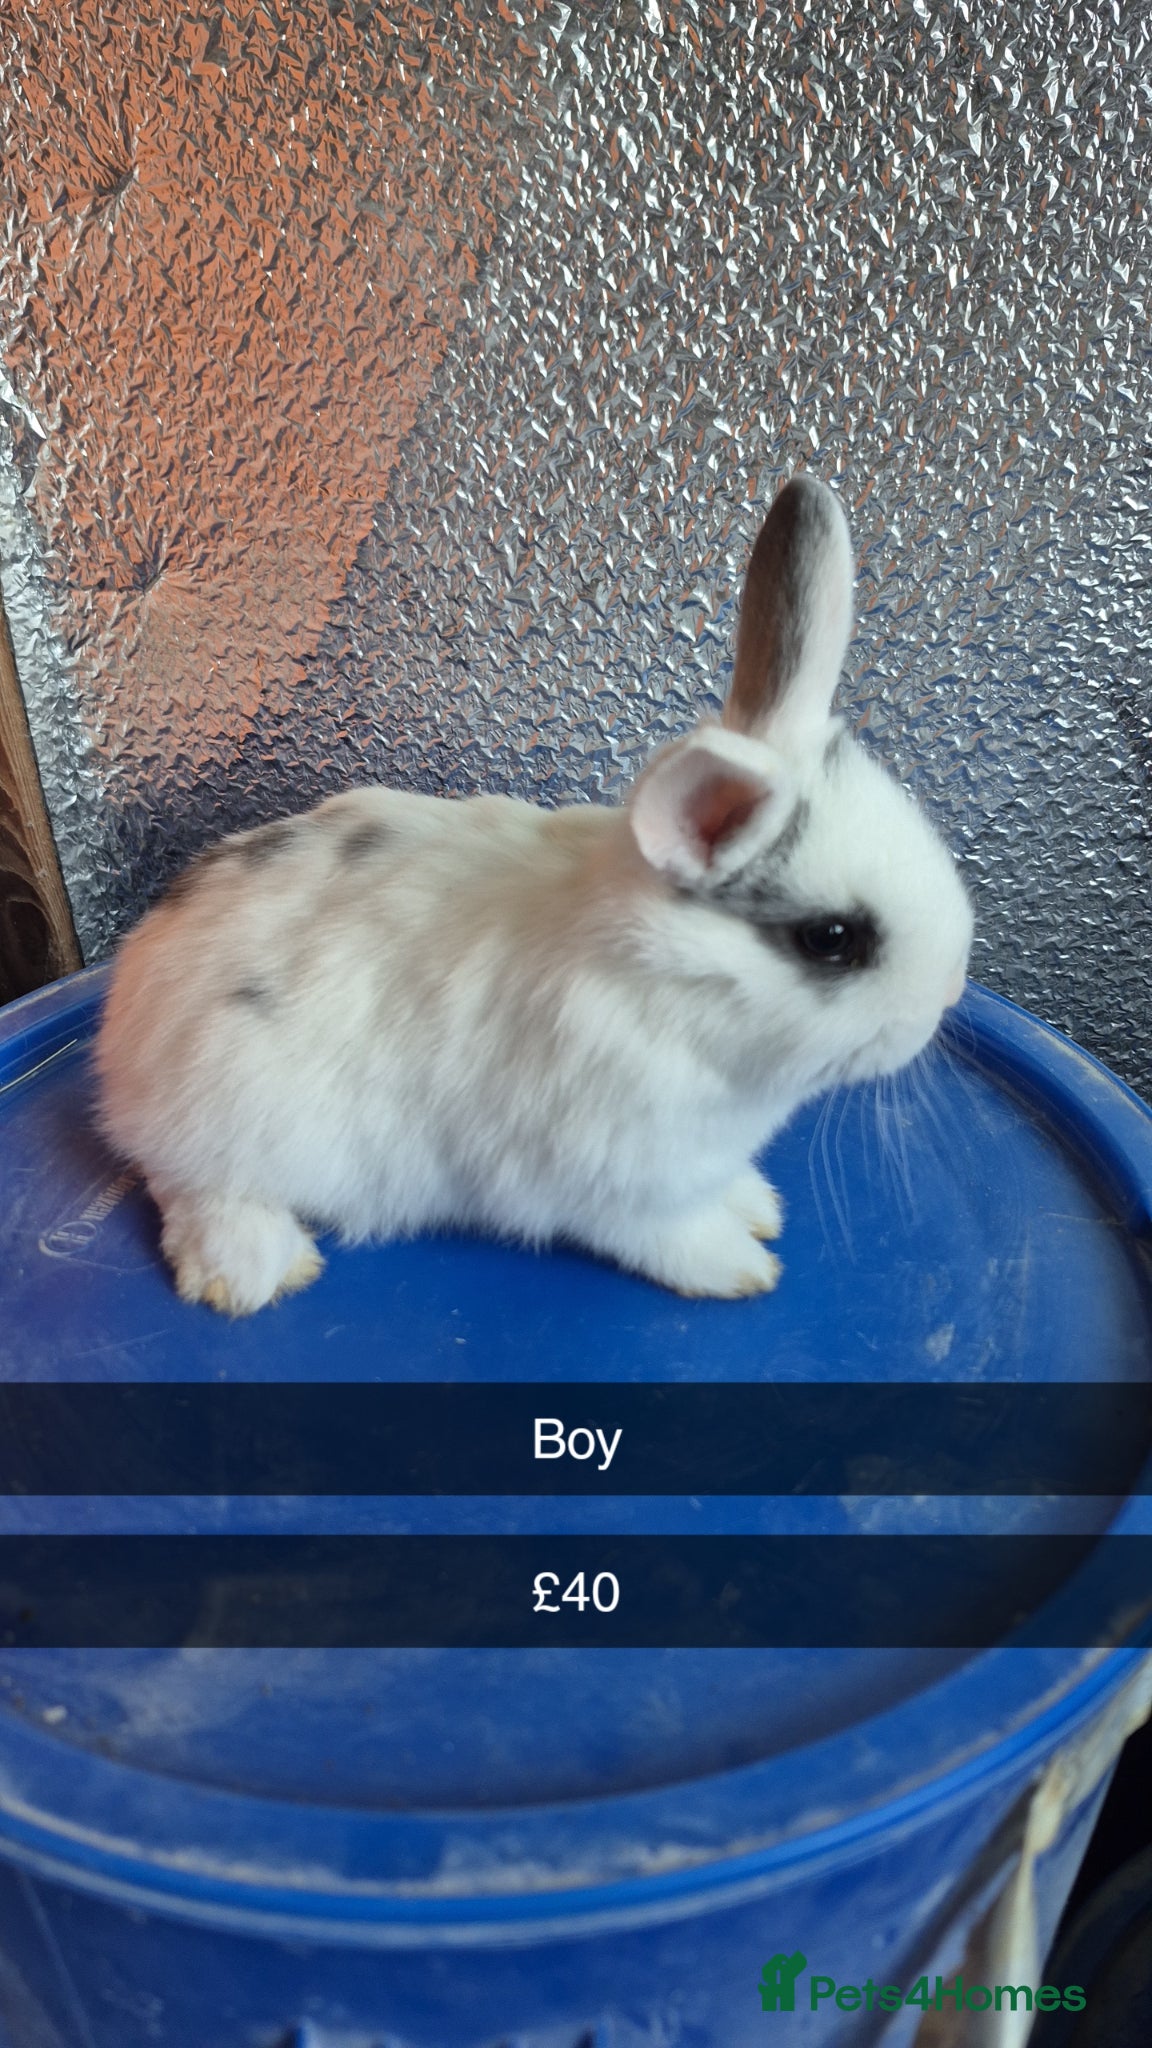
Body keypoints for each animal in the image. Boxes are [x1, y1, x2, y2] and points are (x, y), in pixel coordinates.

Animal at [94, 473, 974, 1315]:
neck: (665, 987)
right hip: (231, 1120)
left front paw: (757, 1207)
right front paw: (741, 1268)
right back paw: (256, 1270)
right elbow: (674, 1236)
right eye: (833, 939)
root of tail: (124, 1017)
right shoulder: (613, 1184)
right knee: (191, 1191)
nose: (945, 999)